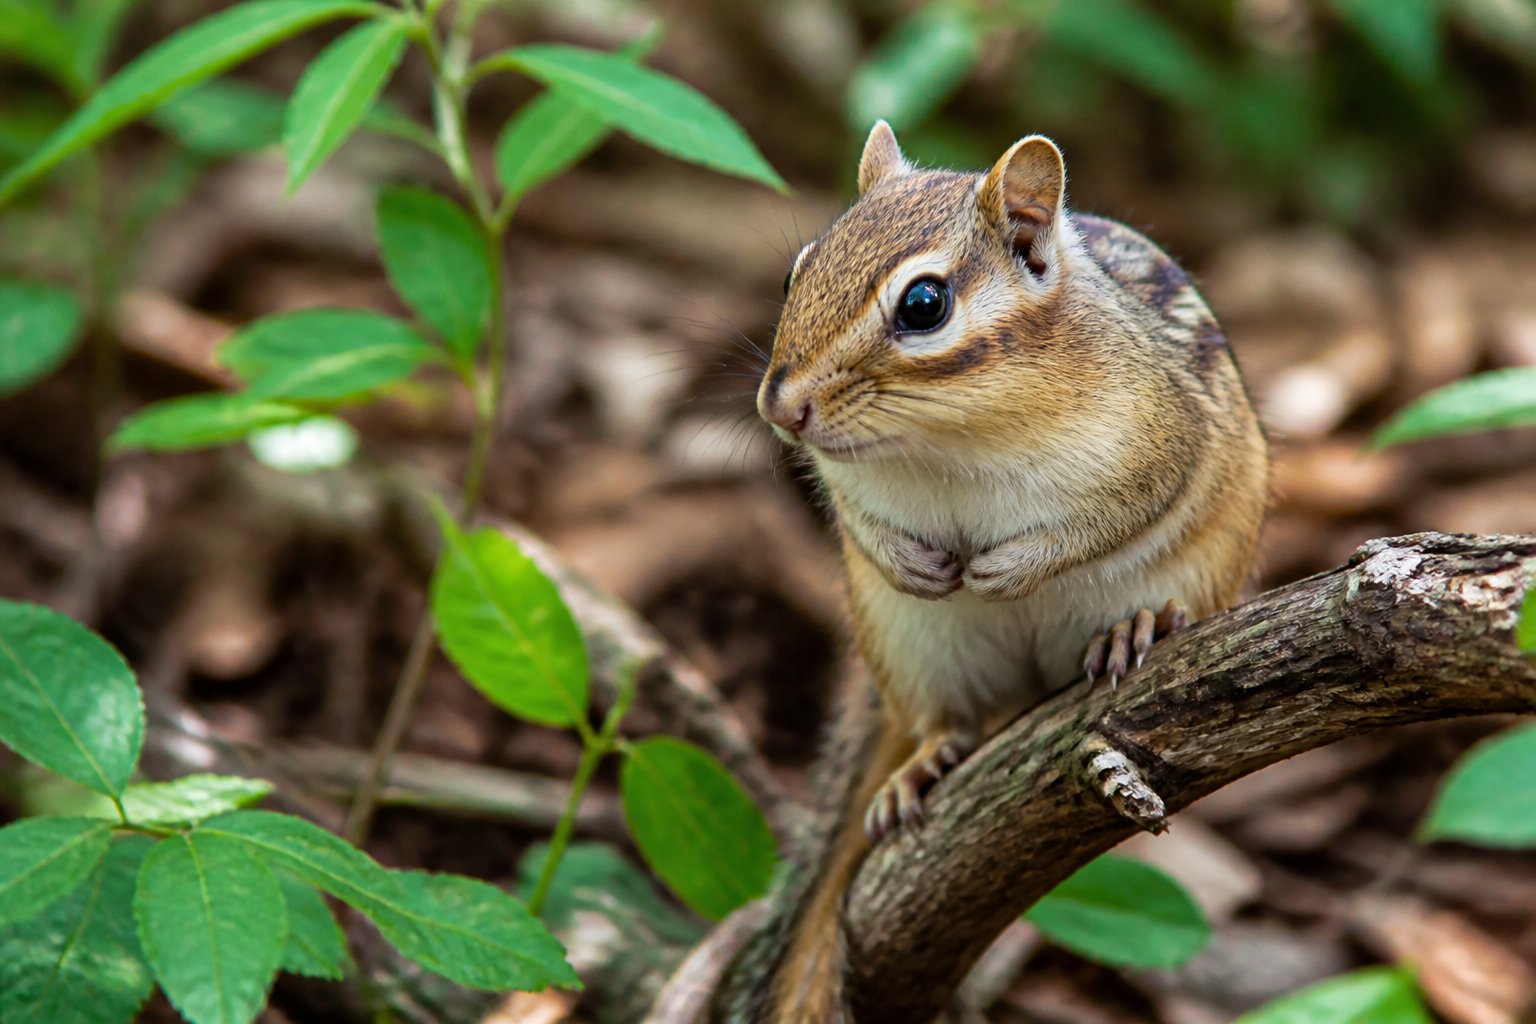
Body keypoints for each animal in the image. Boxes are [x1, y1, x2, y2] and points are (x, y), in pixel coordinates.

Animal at [725, 122, 1269, 1023]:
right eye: (798, 268)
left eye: (923, 305)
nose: (780, 407)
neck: (952, 439)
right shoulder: (848, 483)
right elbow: (859, 519)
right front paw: (915, 561)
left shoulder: (1162, 440)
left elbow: (1110, 517)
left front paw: (1008, 569)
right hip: (913, 649)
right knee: (945, 719)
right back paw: (921, 764)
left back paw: (1139, 623)